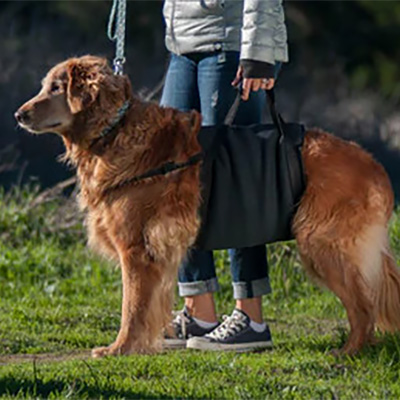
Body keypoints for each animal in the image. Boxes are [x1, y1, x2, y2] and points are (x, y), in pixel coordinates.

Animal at [14, 55, 400, 356]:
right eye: (46, 86)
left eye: (56, 88)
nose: (19, 115)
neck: (113, 130)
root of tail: (375, 165)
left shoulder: (137, 249)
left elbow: (131, 307)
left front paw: (120, 348)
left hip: (321, 246)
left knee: (363, 307)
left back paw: (349, 352)